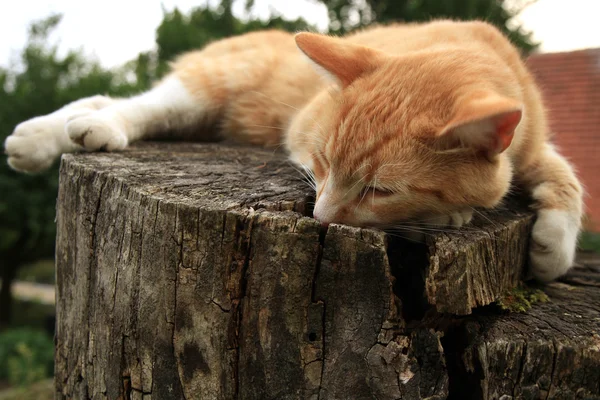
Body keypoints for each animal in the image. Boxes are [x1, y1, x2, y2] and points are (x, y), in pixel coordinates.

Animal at [4, 19, 584, 282]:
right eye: (325, 162)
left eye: (380, 189)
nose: (321, 219)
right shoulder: (302, 132)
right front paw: (456, 214)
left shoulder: (535, 148)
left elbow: (568, 182)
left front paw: (552, 248)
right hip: (203, 90)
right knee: (128, 107)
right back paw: (69, 133)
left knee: (101, 99)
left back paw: (47, 133)